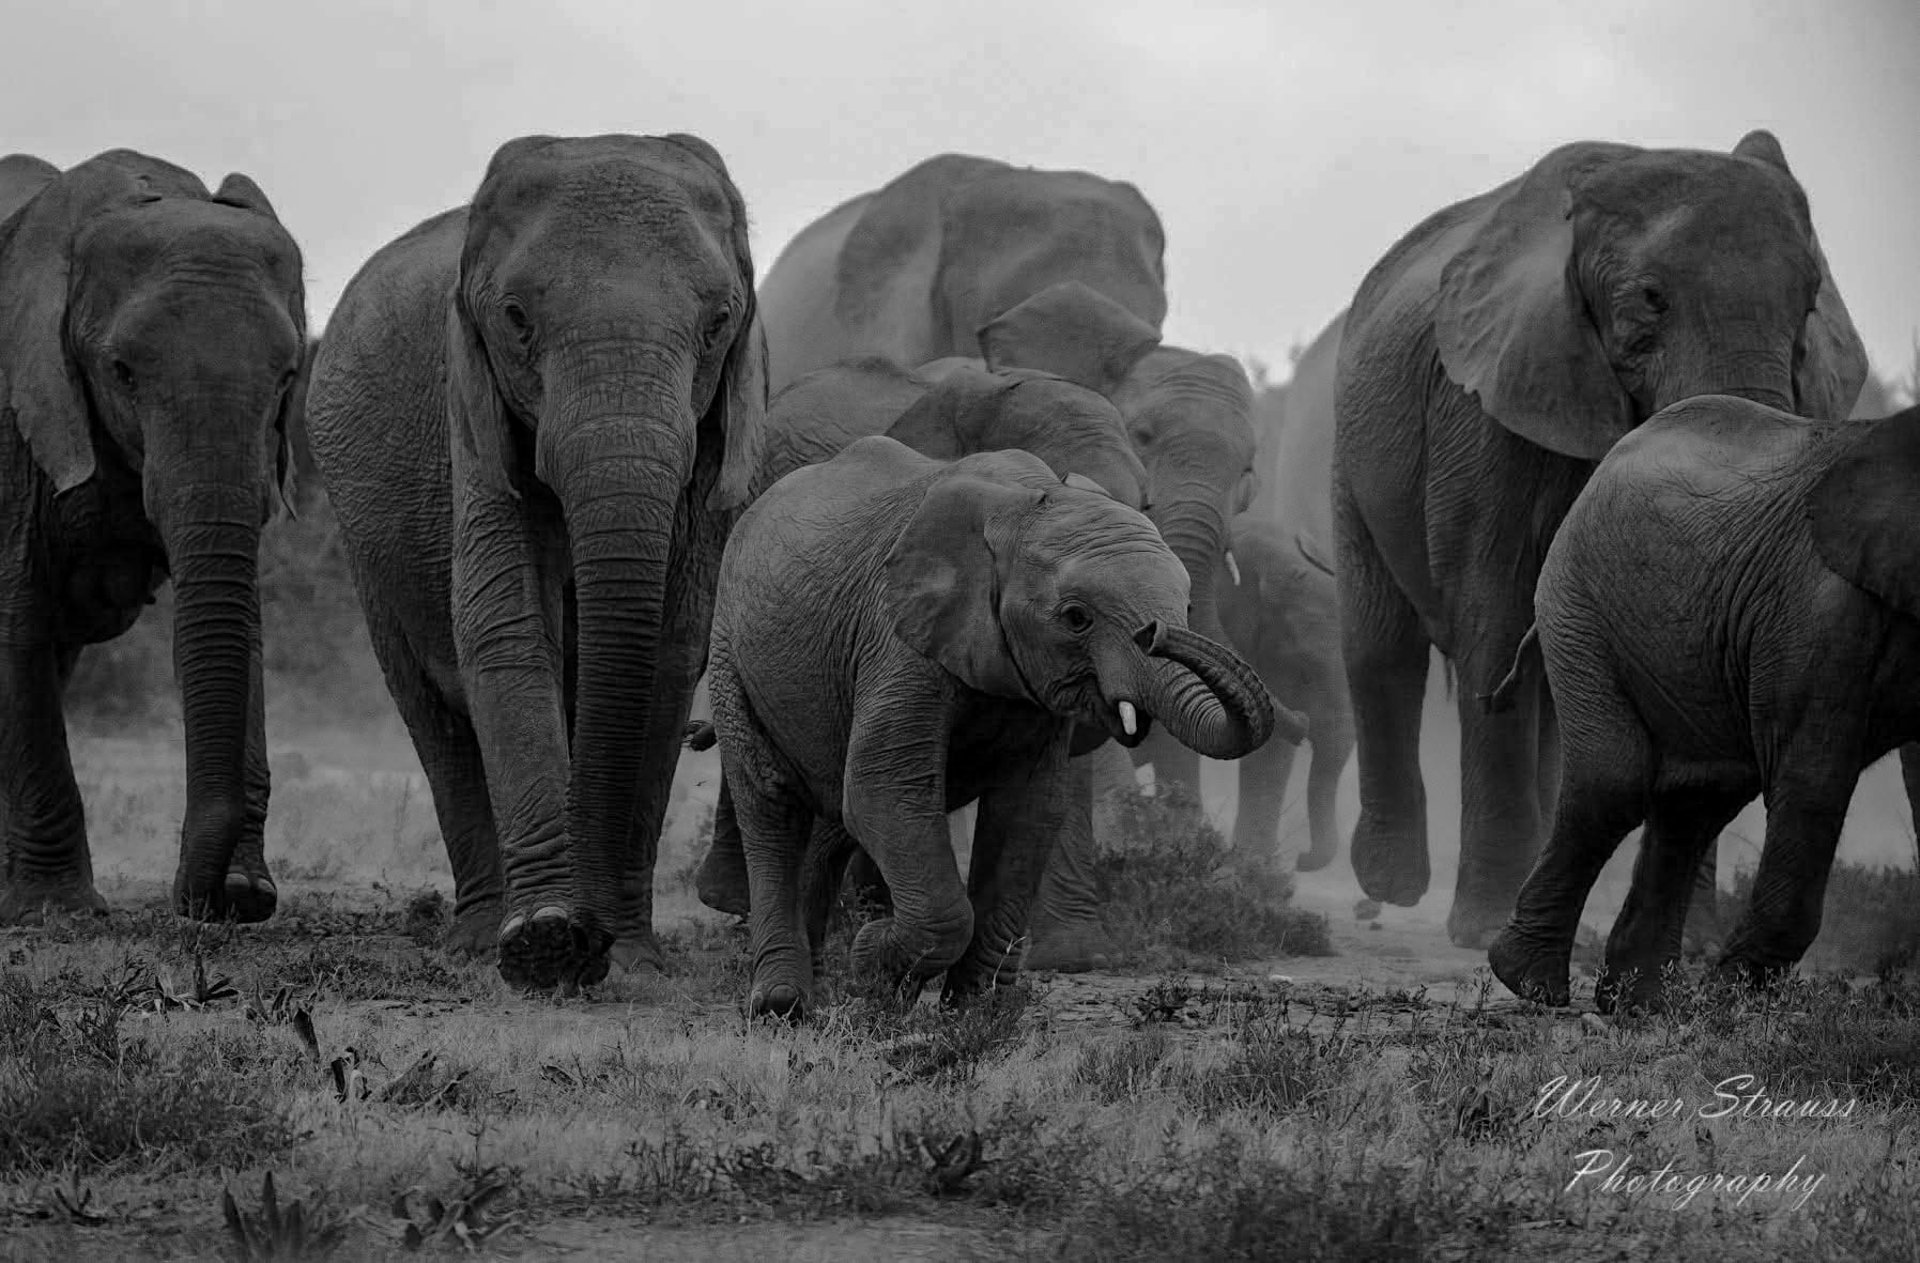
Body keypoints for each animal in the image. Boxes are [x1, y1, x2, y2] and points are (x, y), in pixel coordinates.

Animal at [0, 150, 307, 924]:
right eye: (123, 372)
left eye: (287, 376)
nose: (197, 902)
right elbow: (15, 622)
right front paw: (57, 912)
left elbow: (238, 618)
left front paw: (241, 894)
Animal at [303, 134, 766, 990]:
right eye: (516, 319)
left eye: (719, 322)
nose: (590, 938)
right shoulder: (472, 412)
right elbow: (504, 625)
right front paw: (545, 940)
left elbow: (666, 648)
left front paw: (627, 953)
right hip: (360, 535)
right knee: (431, 715)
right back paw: (478, 937)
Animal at [705, 436, 1292, 1017]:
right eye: (1076, 618)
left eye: (1186, 604)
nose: (1158, 632)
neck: (1020, 506)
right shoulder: (897, 639)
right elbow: (887, 790)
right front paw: (874, 962)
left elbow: (1026, 812)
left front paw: (967, 1012)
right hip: (729, 647)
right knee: (772, 805)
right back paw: (781, 1004)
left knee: (834, 816)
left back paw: (824, 986)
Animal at [1331, 128, 1867, 951]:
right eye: (1651, 298)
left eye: (1809, 304)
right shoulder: (1486, 408)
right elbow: (1494, 616)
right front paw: (1482, 931)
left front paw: (1688, 946)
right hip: (1352, 445)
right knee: (1381, 643)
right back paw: (1391, 885)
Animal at [1487, 397, 1920, 1011]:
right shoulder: (1822, 610)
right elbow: (1812, 778)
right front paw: (1730, 1000)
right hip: (1578, 607)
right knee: (1613, 784)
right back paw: (1533, 983)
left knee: (1694, 799)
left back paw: (1641, 1003)